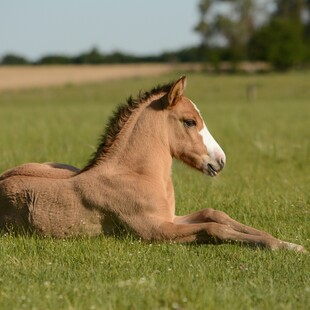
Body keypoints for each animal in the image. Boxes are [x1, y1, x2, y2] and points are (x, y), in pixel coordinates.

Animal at [0, 75, 306, 252]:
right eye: (189, 121)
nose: (220, 161)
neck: (136, 175)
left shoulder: (170, 218)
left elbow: (215, 214)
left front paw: (287, 243)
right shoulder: (155, 230)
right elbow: (213, 228)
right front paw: (278, 246)